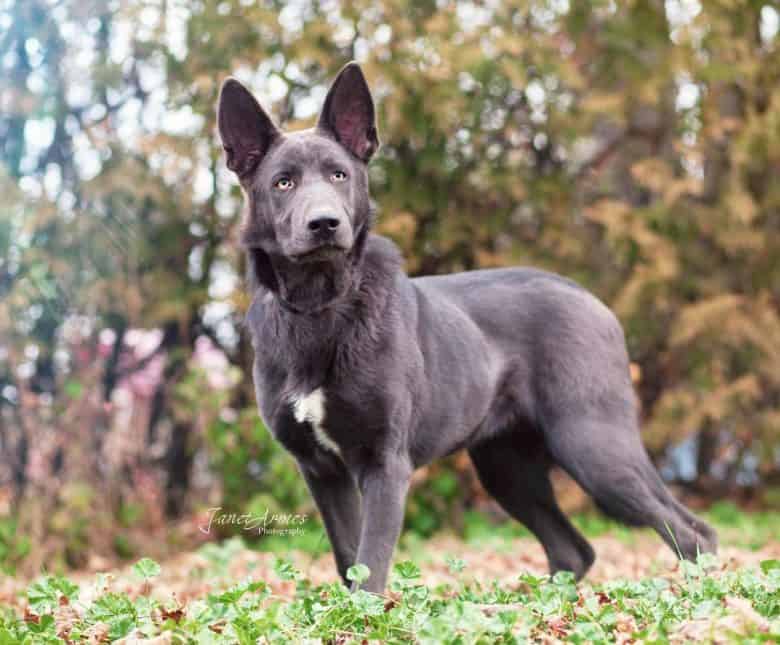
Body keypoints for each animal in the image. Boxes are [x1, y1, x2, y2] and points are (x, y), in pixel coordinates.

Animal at [216, 63, 716, 592]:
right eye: (283, 183)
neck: (323, 309)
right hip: (507, 467)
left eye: (339, 174)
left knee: (691, 531)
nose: (325, 223)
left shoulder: (384, 464)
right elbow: (348, 559)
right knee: (573, 549)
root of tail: (592, 301)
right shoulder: (320, 470)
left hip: (594, 445)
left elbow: (370, 566)